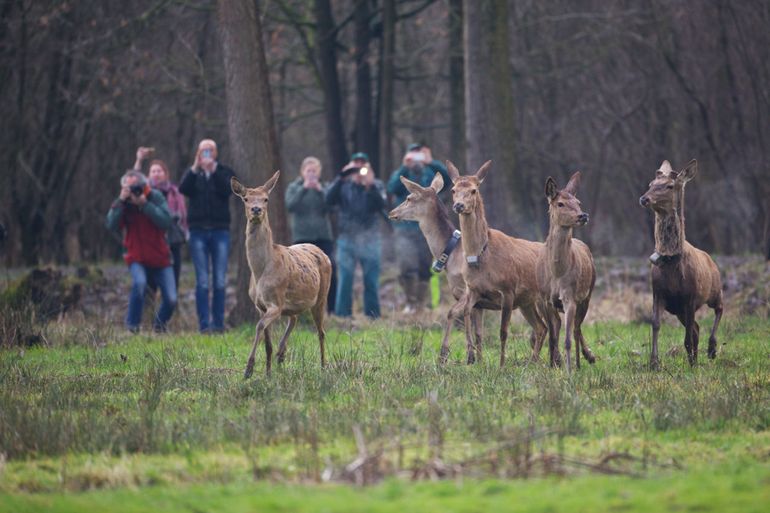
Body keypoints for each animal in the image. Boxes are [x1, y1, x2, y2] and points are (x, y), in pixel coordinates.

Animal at [232, 172, 332, 376]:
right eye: (246, 199)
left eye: (266, 199)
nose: (256, 209)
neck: (260, 270)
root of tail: (323, 252)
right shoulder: (260, 305)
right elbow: (267, 342)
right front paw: (268, 373)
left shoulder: (275, 302)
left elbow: (259, 326)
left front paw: (249, 368)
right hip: (292, 303)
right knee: (294, 318)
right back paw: (281, 353)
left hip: (321, 296)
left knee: (321, 331)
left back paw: (323, 366)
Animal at [388, 173, 544, 364]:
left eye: (409, 198)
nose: (392, 212)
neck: (450, 255)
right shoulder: (473, 296)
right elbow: (476, 328)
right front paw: (476, 357)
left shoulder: (466, 289)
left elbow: (453, 312)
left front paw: (449, 355)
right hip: (527, 302)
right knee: (543, 327)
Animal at [444, 160, 552, 364]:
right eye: (453, 189)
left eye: (474, 190)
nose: (459, 205)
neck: (481, 256)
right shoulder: (474, 291)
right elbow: (470, 320)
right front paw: (472, 358)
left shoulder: (508, 290)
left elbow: (503, 332)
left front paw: (501, 365)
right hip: (527, 302)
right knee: (542, 327)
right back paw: (532, 362)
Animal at [536, 172, 596, 372]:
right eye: (560, 203)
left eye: (578, 202)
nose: (583, 215)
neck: (557, 273)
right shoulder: (546, 298)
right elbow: (553, 336)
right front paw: (554, 363)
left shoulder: (570, 296)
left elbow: (568, 339)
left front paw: (568, 370)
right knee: (565, 326)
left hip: (587, 294)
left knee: (576, 329)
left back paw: (581, 361)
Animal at [636, 158, 720, 366]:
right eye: (651, 184)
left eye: (669, 185)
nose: (644, 198)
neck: (670, 262)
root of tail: (710, 259)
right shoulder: (658, 293)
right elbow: (656, 324)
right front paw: (654, 363)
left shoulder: (690, 296)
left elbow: (687, 336)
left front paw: (691, 361)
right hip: (679, 310)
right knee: (697, 328)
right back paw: (696, 358)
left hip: (715, 289)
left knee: (719, 309)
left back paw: (711, 349)